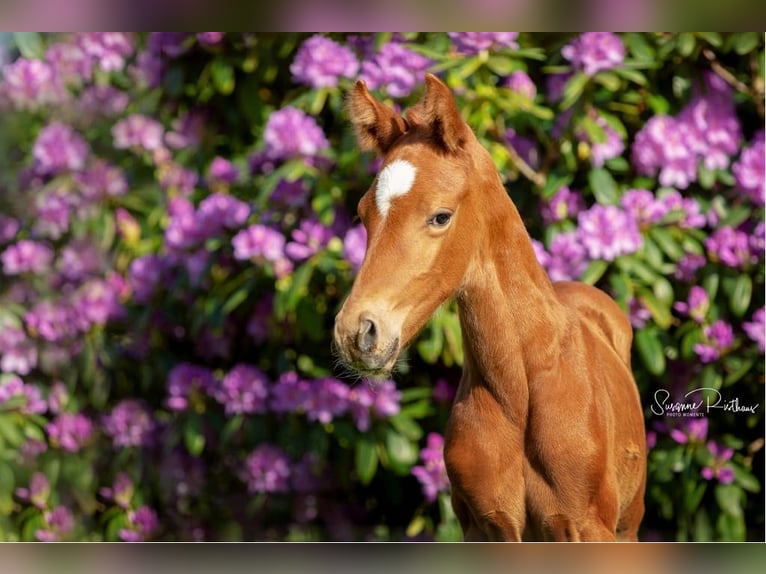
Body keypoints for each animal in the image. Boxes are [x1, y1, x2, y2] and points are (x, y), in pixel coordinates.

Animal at [336, 74, 648, 544]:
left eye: (440, 216)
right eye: (362, 214)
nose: (358, 332)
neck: (522, 390)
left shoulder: (588, 527)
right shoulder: (486, 528)